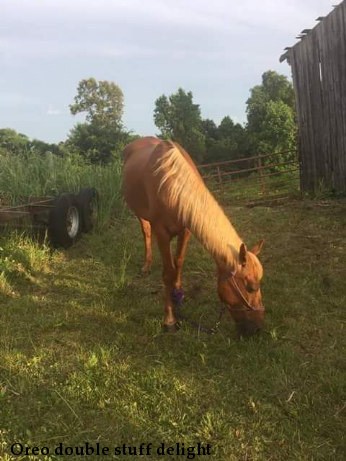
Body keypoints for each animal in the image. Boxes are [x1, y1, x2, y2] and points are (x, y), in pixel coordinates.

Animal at [121, 137, 264, 334]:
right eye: (250, 287)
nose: (257, 328)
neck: (172, 184)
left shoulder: (186, 230)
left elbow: (179, 262)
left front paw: (178, 292)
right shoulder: (161, 233)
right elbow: (168, 272)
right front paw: (170, 320)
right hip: (140, 214)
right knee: (146, 233)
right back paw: (146, 266)